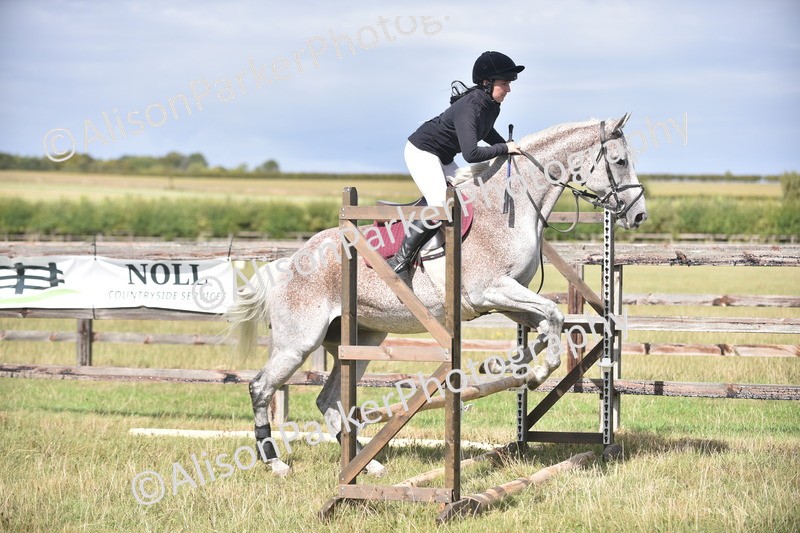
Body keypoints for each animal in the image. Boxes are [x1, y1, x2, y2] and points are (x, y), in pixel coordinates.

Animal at [228, 114, 648, 476]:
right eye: (620, 161)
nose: (639, 216)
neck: (512, 205)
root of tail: (289, 262)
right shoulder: (491, 290)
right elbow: (554, 317)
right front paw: (536, 373)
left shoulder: (507, 297)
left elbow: (547, 324)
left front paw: (506, 366)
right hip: (298, 342)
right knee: (262, 387)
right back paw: (274, 461)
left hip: (361, 339)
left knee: (328, 399)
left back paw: (368, 464)